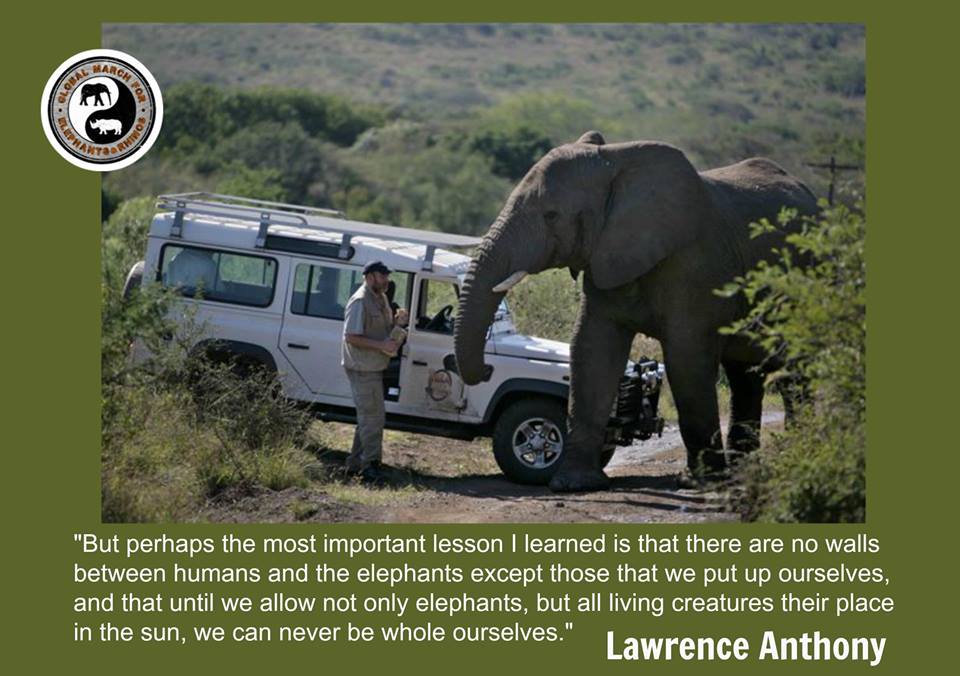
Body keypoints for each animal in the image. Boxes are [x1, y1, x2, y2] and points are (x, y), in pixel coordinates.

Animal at [454, 131, 819, 492]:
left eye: (551, 215)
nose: (485, 369)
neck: (616, 165)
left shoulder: (695, 266)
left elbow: (686, 360)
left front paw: (698, 482)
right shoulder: (605, 254)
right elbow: (592, 351)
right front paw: (574, 484)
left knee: (793, 374)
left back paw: (791, 456)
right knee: (745, 374)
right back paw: (744, 473)